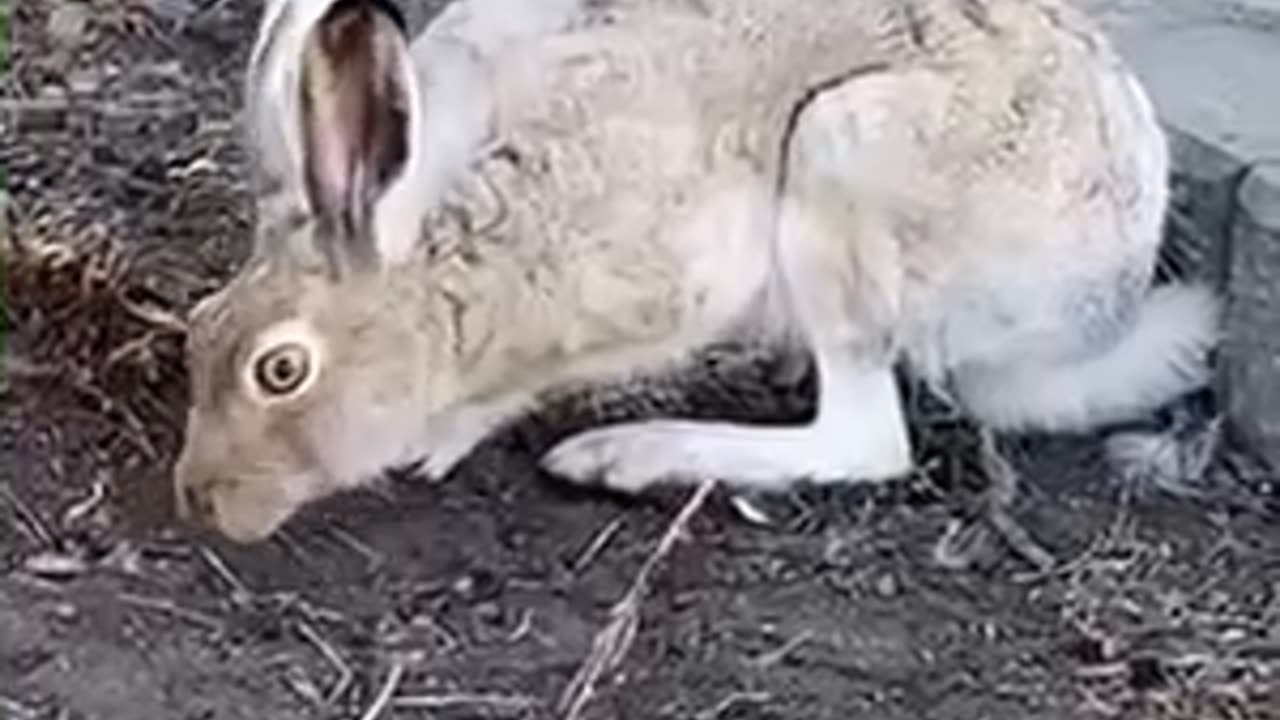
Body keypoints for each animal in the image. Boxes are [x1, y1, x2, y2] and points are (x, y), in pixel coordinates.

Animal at [172, 0, 1218, 540]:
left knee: (868, 438)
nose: (201, 499)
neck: (443, 274)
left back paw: (628, 455)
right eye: (195, 334)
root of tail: (1099, 310)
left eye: (280, 370)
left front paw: (440, 440)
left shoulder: (676, 277)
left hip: (845, 162)